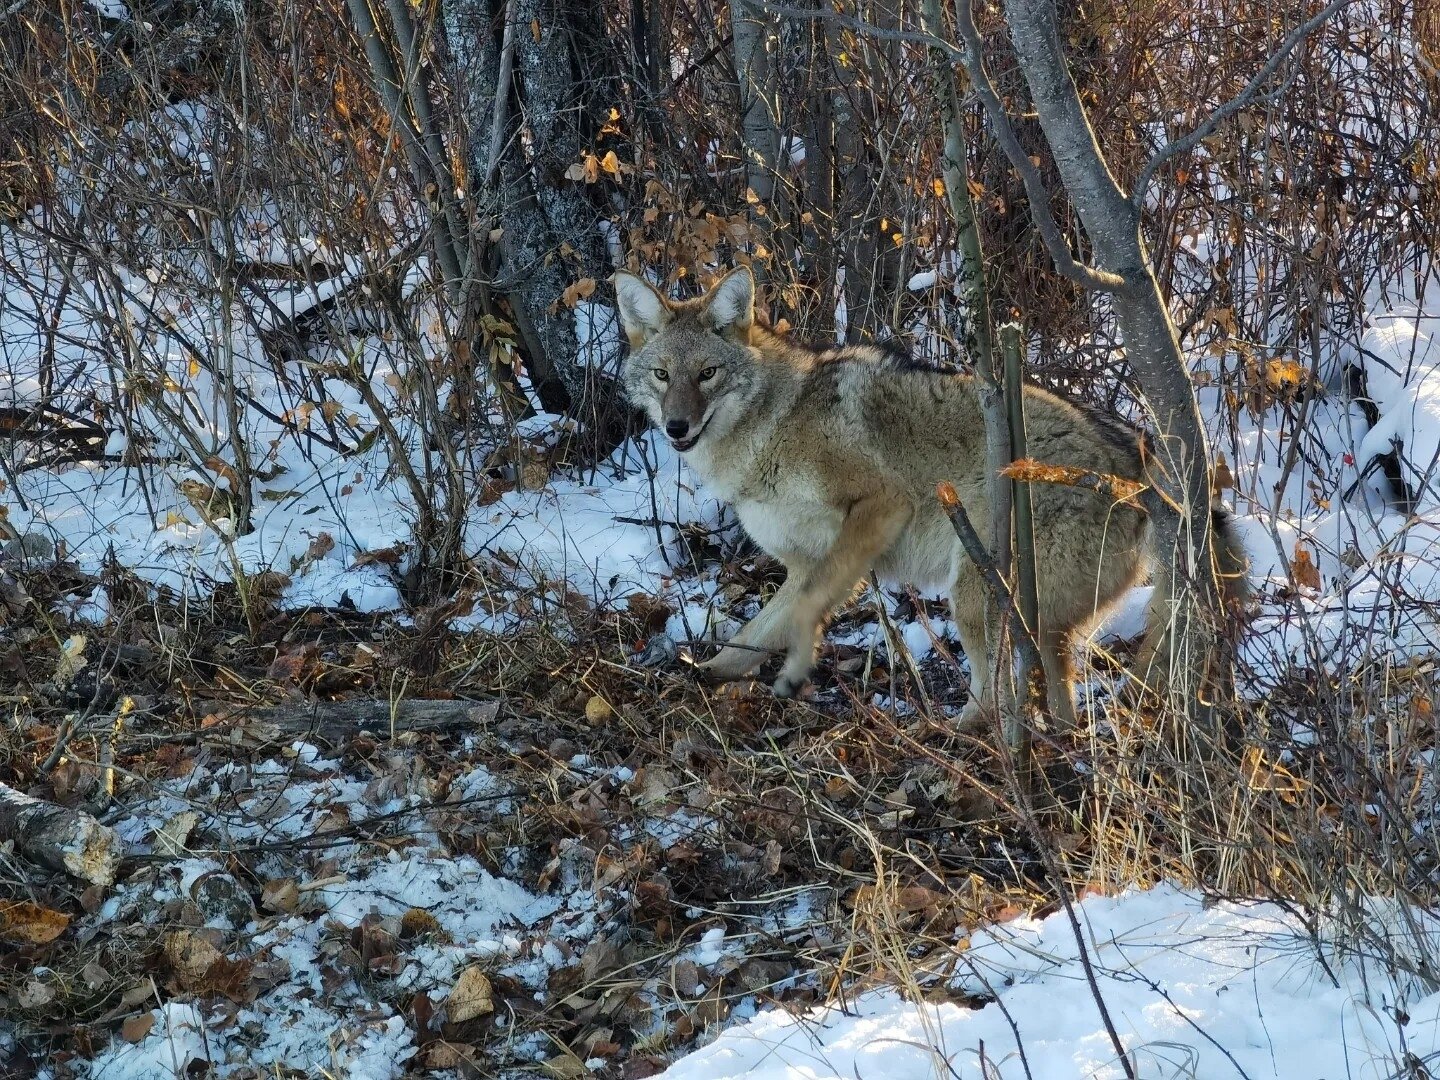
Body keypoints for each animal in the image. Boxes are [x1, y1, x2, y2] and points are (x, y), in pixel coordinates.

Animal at [613, 266, 1248, 725]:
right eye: (663, 375)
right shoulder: (803, 565)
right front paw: (703, 674)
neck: (772, 426)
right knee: (1056, 702)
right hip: (1036, 622)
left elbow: (804, 614)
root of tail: (1136, 463)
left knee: (996, 700)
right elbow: (752, 634)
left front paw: (794, 671)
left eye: (708, 373)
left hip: (976, 594)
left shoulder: (880, 506)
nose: (676, 427)